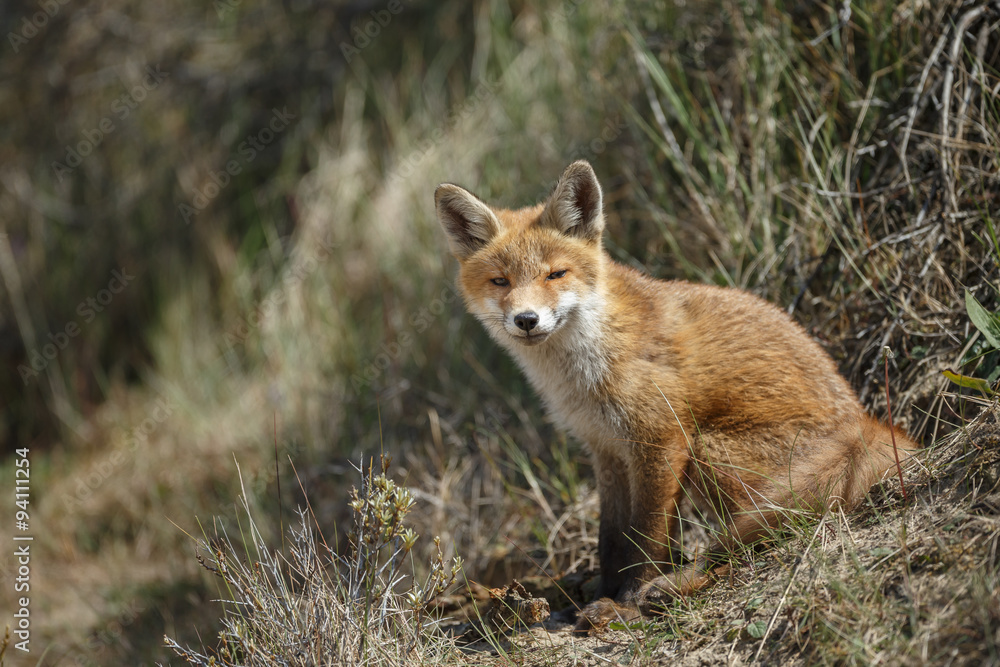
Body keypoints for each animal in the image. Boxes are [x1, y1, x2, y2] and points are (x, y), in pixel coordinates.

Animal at [434, 162, 916, 632]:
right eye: (500, 281)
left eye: (555, 274)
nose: (527, 319)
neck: (585, 369)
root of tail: (864, 425)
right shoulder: (605, 449)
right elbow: (611, 538)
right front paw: (603, 593)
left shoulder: (662, 440)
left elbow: (647, 536)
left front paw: (626, 606)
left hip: (709, 448)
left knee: (757, 540)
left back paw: (677, 586)